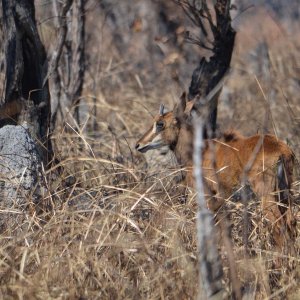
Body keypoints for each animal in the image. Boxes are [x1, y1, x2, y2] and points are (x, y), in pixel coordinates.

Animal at [137, 93, 296, 251]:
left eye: (160, 124)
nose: (138, 145)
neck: (199, 151)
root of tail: (283, 151)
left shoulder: (209, 195)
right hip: (285, 193)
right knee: (290, 222)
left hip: (267, 195)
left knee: (279, 225)